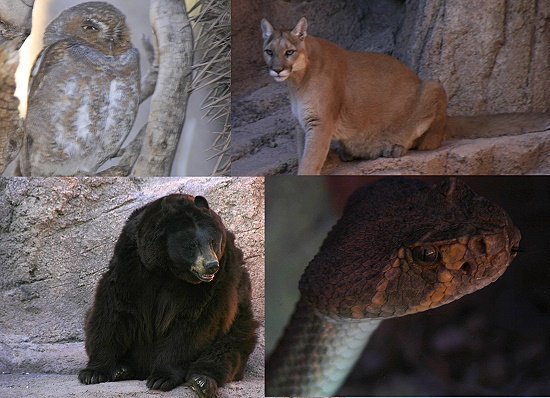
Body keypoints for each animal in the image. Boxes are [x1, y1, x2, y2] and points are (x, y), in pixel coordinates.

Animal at [78, 194, 260, 396]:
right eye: (192, 244)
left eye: (212, 241)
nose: (211, 265)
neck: (168, 269)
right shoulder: (133, 258)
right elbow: (115, 306)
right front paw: (94, 372)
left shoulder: (219, 274)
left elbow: (194, 320)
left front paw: (161, 377)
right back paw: (122, 368)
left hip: (239, 324)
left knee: (226, 349)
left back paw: (201, 380)